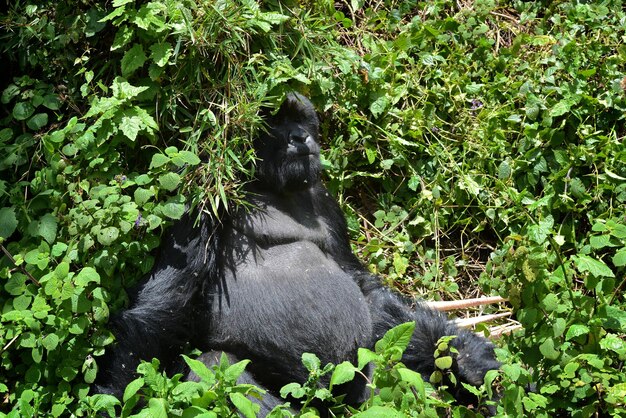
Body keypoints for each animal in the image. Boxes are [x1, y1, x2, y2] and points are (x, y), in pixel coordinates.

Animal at [95, 92, 500, 414]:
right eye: (273, 123)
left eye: (299, 120)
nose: (300, 136)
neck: (267, 183)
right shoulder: (201, 196)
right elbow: (167, 302)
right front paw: (116, 399)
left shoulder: (326, 200)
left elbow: (365, 288)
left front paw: (467, 359)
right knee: (218, 365)